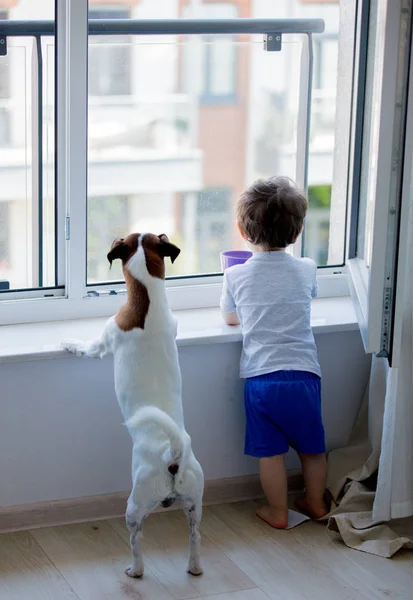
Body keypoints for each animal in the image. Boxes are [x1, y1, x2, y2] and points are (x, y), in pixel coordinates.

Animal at [62, 233, 204, 576]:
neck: (147, 301)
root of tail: (173, 457)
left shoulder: (103, 341)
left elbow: (86, 347)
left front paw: (69, 343)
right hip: (195, 504)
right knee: (195, 538)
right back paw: (194, 567)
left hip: (135, 506)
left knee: (137, 543)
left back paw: (134, 570)